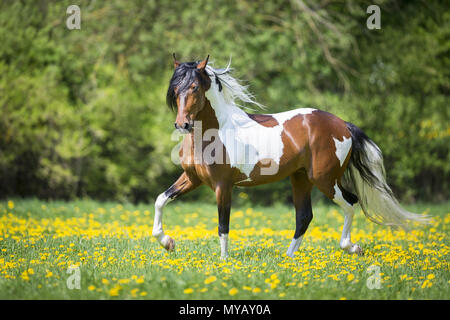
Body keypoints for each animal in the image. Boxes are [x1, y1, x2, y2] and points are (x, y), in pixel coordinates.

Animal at [153, 55, 430, 258]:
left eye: (194, 87)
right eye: (175, 89)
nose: (182, 124)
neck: (215, 132)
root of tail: (343, 125)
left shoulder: (223, 185)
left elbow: (223, 225)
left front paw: (224, 261)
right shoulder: (193, 179)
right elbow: (161, 200)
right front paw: (168, 242)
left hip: (324, 180)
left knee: (350, 204)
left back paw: (351, 247)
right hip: (300, 178)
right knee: (304, 216)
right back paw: (289, 258)